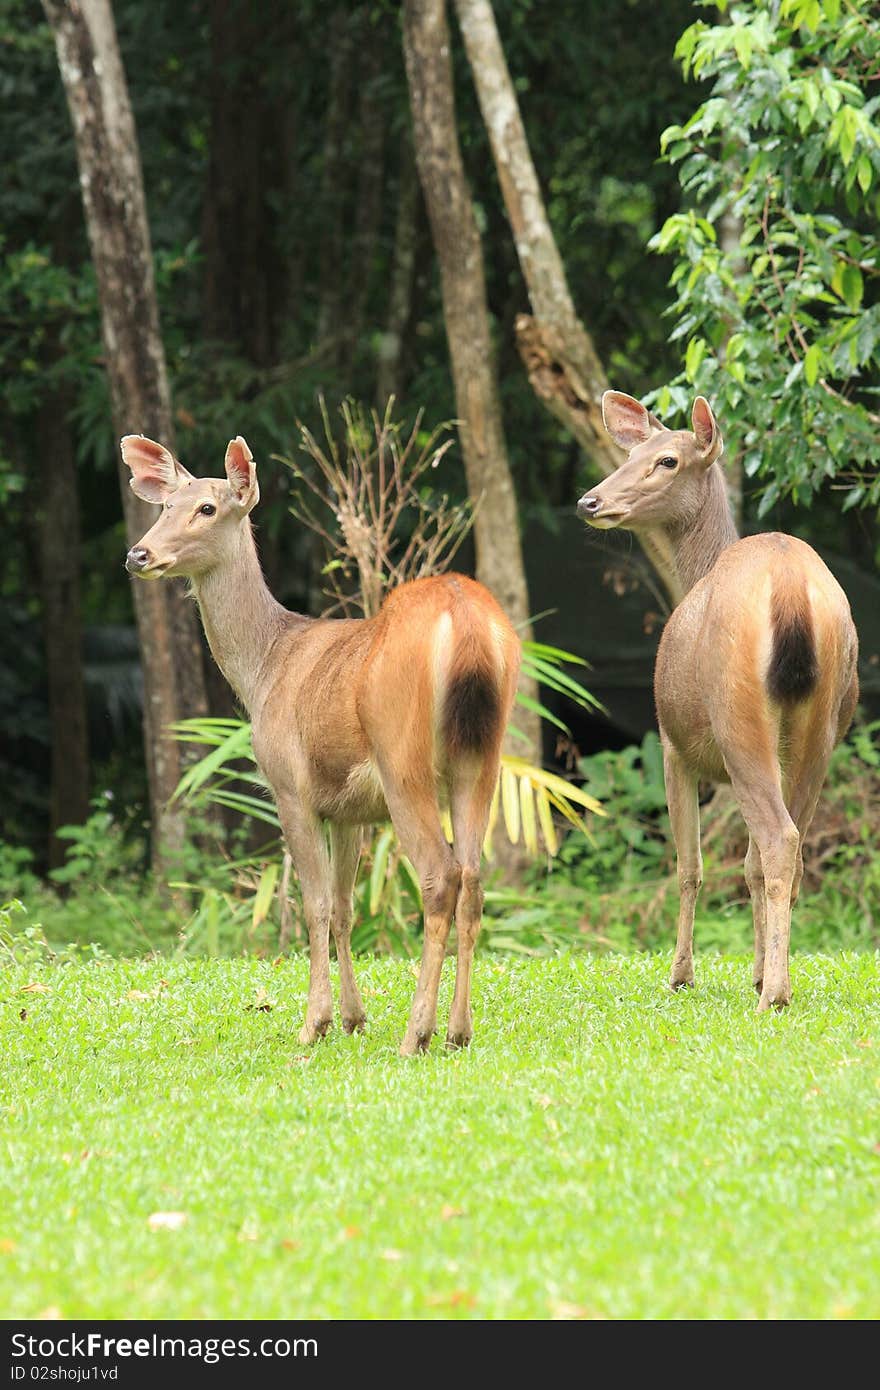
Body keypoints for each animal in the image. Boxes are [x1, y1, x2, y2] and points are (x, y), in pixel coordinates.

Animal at [120, 433, 517, 1050]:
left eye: (207, 508)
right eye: (163, 506)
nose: (138, 554)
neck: (264, 668)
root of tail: (466, 621)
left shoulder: (290, 787)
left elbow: (315, 904)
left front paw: (315, 1023)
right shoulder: (350, 809)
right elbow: (347, 906)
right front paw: (354, 1017)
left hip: (402, 754)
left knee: (439, 877)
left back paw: (416, 1034)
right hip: (483, 756)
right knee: (474, 879)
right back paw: (458, 1031)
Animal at [575, 391, 856, 1011]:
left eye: (668, 460)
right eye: (632, 454)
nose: (590, 500)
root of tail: (790, 592)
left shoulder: (671, 744)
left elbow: (689, 865)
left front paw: (681, 973)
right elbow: (743, 867)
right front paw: (752, 966)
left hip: (736, 716)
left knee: (777, 839)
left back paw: (774, 994)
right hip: (819, 727)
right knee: (789, 847)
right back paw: (774, 980)